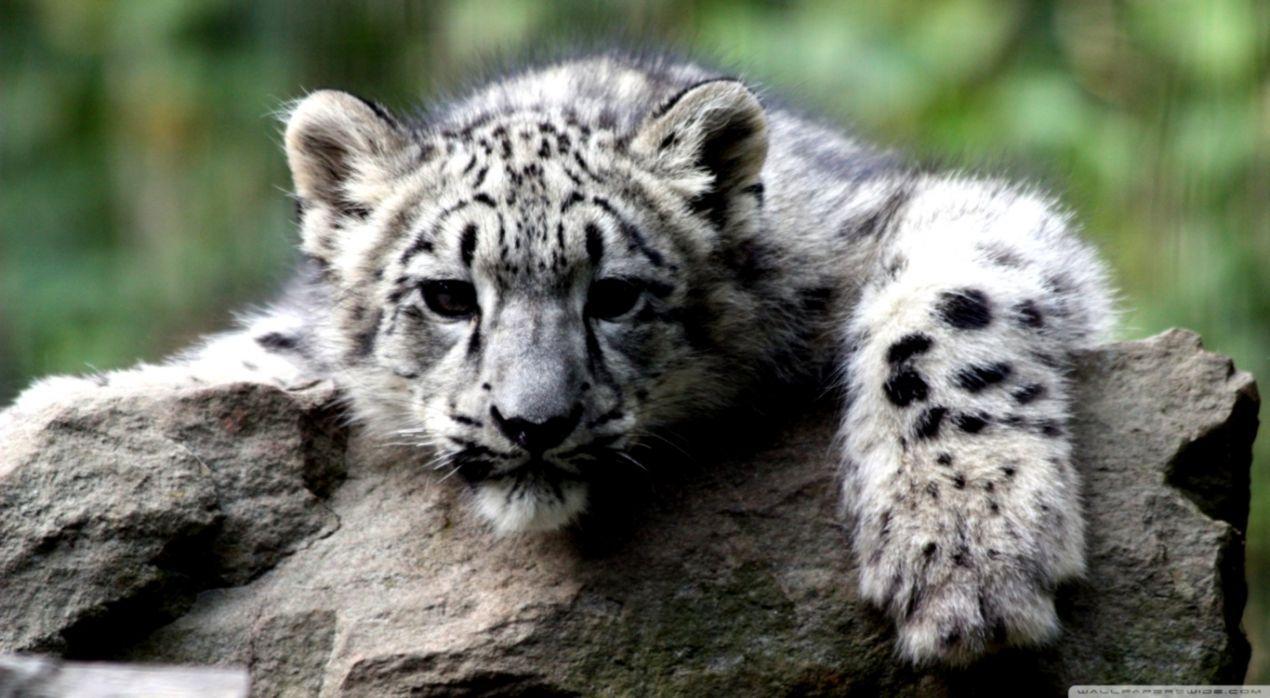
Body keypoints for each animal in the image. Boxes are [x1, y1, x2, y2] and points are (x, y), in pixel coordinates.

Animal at [6, 52, 1114, 666]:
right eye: (448, 296)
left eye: (614, 293)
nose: (531, 421)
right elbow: (238, 361)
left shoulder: (929, 219)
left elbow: (948, 309)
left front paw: (964, 553)